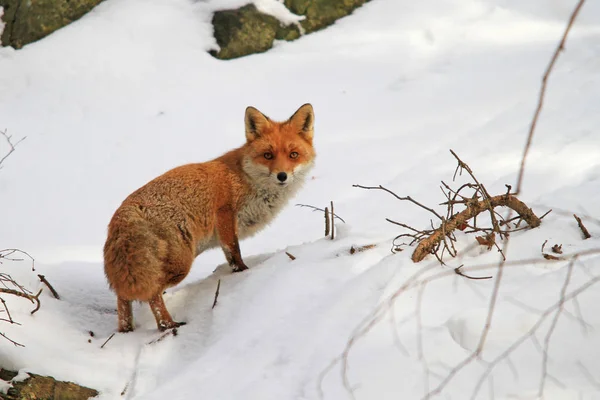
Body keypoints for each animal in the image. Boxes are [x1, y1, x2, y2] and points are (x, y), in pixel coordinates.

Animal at [103, 103, 316, 332]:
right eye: (268, 155)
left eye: (293, 154)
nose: (282, 176)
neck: (246, 179)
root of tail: (124, 214)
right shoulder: (225, 215)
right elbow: (235, 254)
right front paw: (244, 273)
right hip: (179, 264)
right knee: (153, 294)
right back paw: (168, 325)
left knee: (123, 298)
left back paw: (126, 331)